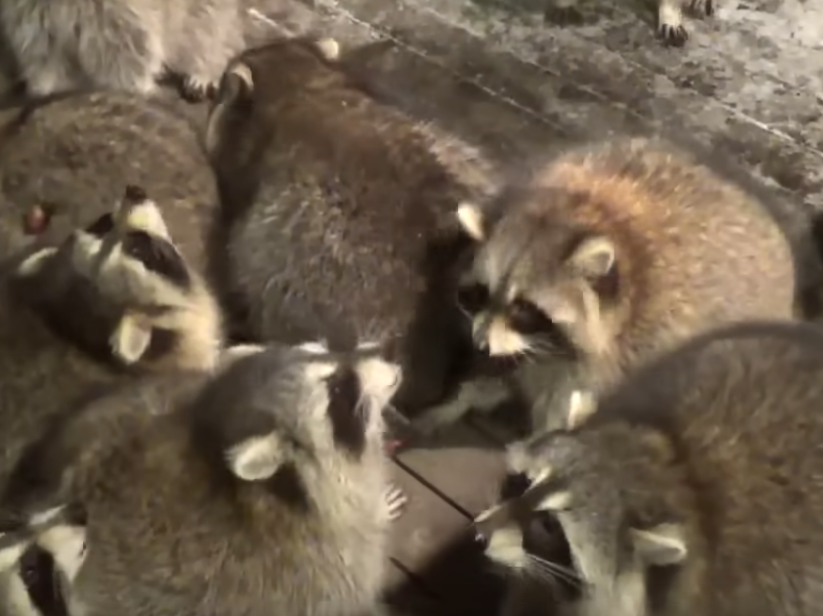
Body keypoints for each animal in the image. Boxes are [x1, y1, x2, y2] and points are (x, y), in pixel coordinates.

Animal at [0, 0, 244, 100]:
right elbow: (44, 57)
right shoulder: (32, 14)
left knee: (208, 35)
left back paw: (206, 69)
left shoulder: (122, 15)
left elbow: (128, 57)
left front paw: (134, 89)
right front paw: (47, 89)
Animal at [415, 136, 796, 435]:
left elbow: (563, 416)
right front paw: (458, 399)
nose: (478, 344)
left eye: (524, 308)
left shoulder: (625, 353)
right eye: (479, 294)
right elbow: (502, 369)